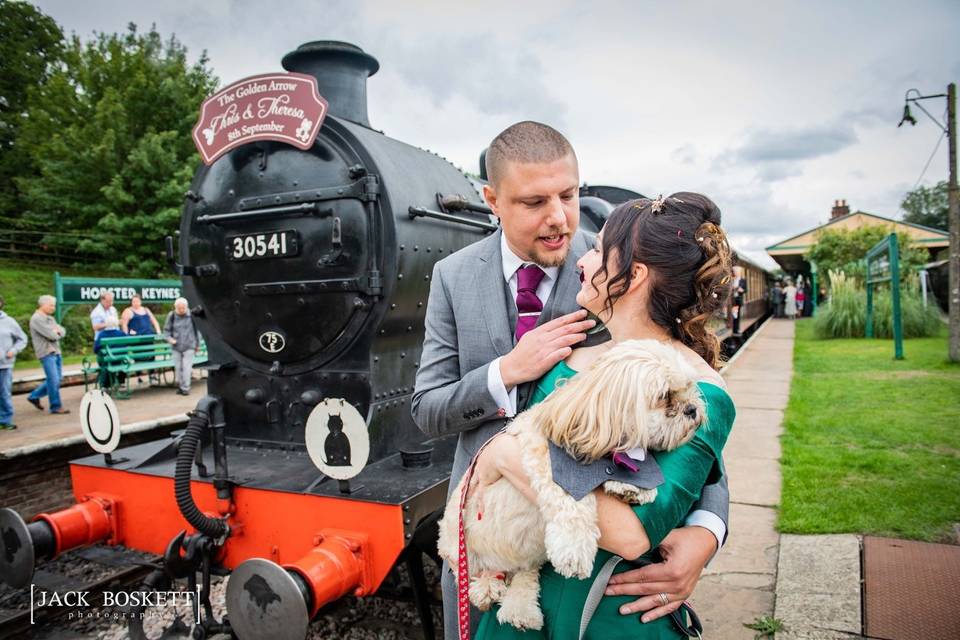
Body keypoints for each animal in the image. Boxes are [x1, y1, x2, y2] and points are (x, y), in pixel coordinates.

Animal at [438, 340, 708, 632]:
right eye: (664, 396)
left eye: (688, 387)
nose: (692, 409)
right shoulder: (549, 464)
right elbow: (573, 503)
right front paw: (575, 549)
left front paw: (632, 487)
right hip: (459, 545)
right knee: (472, 574)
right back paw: (486, 588)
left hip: (528, 555)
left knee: (524, 573)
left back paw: (521, 610)